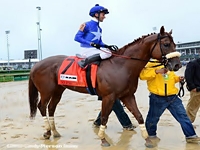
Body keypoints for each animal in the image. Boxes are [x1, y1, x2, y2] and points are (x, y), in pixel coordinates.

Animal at [29, 26, 181, 148]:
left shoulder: (127, 95)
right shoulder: (109, 97)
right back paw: (47, 132)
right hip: (46, 91)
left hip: (58, 91)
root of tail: (36, 65)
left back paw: (54, 132)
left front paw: (147, 139)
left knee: (51, 108)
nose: (177, 65)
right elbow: (104, 117)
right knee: (42, 106)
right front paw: (103, 140)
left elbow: (138, 116)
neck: (121, 65)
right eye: (166, 44)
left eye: (175, 44)